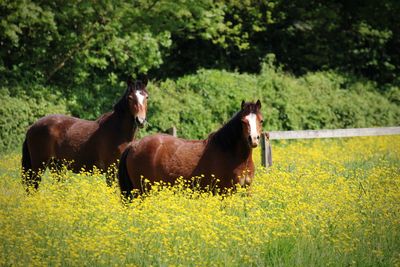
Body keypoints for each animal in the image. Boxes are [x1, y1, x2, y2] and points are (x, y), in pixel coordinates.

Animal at [20, 78, 148, 189]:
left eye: (146, 97)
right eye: (130, 98)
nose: (140, 120)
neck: (118, 131)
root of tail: (32, 127)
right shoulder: (111, 171)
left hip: (56, 167)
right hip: (39, 165)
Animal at [118, 100, 262, 199]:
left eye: (261, 120)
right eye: (243, 121)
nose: (253, 139)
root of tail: (134, 145)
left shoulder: (247, 190)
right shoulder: (225, 192)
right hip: (141, 192)